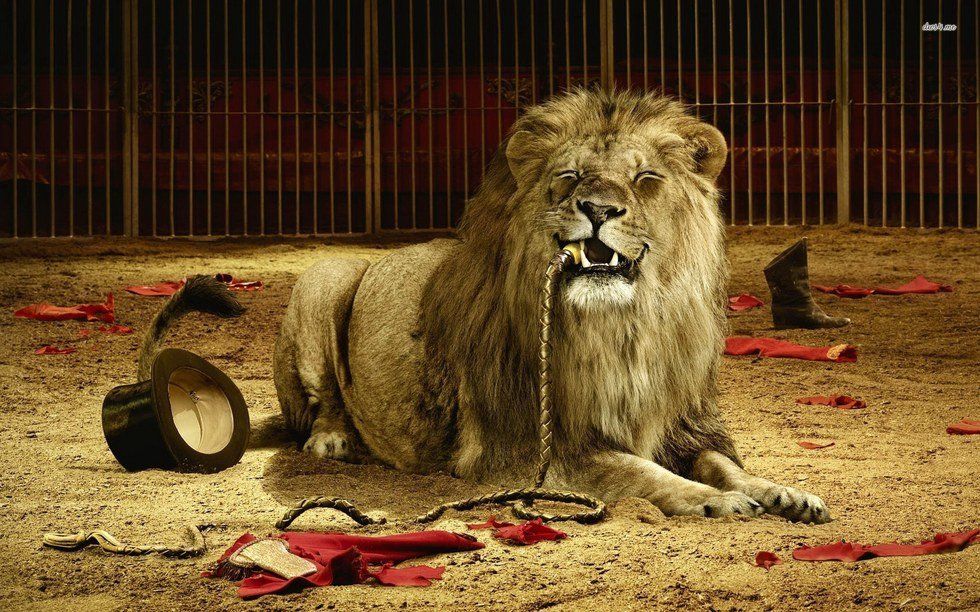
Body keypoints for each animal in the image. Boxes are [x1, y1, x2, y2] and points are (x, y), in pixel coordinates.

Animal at [274, 89, 830, 523]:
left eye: (646, 178)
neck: (622, 330)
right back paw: (332, 441)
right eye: (570, 175)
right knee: (323, 398)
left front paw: (783, 492)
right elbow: (639, 472)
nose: (598, 209)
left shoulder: (684, 425)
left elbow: (724, 464)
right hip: (325, 278)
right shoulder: (527, 450)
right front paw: (715, 500)